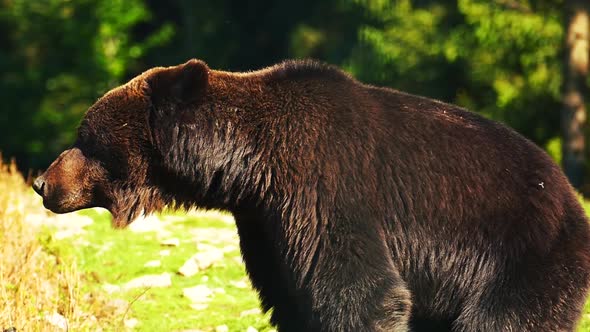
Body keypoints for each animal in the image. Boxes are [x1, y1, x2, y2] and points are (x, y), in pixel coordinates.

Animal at [33, 59, 590, 332]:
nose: (42, 182)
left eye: (86, 138)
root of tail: (569, 195)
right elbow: (292, 296)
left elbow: (360, 293)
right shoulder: (266, 223)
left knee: (506, 320)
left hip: (520, 258)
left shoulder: (325, 190)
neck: (249, 165)